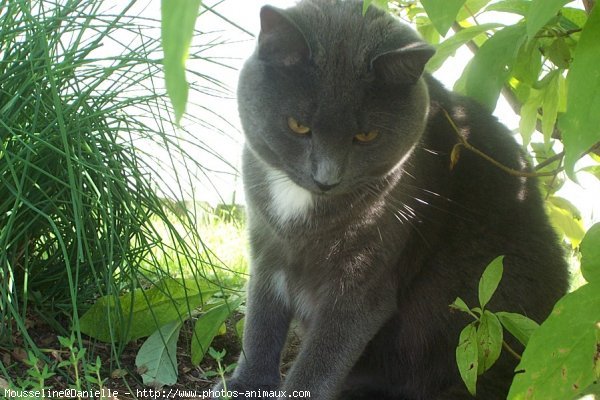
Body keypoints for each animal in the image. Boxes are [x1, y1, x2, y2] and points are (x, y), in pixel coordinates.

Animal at [213, 1, 568, 398]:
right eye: (298, 126)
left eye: (366, 136)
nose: (326, 179)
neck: (301, 209)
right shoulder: (266, 248)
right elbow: (260, 322)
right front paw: (245, 384)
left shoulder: (365, 277)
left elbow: (323, 354)